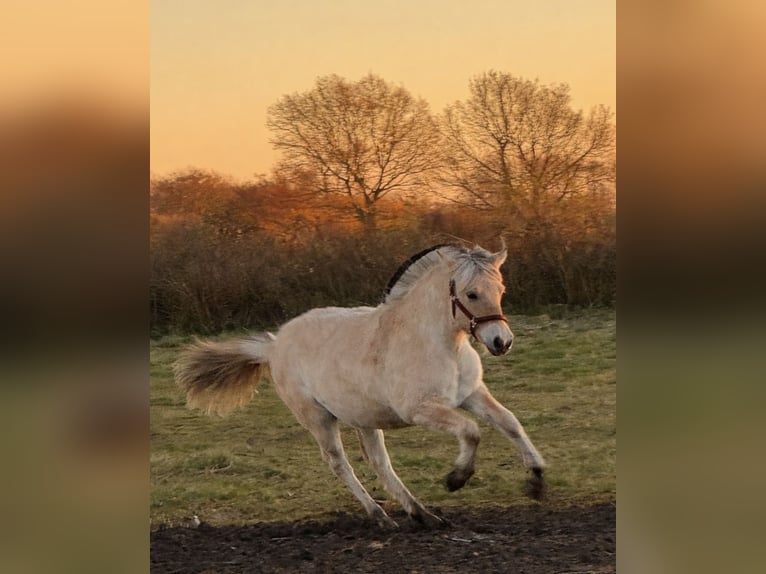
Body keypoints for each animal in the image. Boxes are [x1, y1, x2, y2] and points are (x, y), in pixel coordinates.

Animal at [174, 243, 546, 528]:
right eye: (471, 293)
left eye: (500, 291)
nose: (501, 342)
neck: (437, 343)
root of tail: (273, 345)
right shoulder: (421, 410)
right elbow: (471, 431)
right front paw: (456, 479)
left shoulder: (471, 395)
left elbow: (510, 423)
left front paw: (537, 480)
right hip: (319, 420)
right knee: (340, 463)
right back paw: (380, 515)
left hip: (364, 419)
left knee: (379, 463)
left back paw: (421, 514)